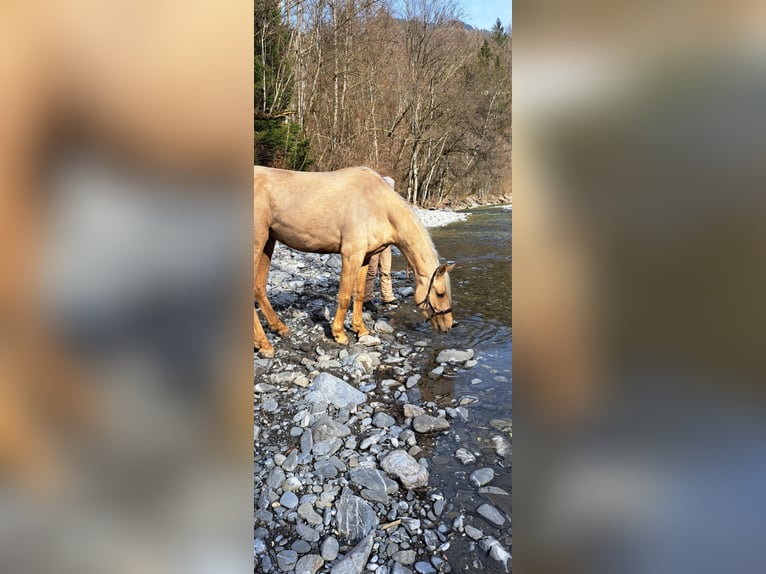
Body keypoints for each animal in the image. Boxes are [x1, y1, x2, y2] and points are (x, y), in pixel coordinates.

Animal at [255, 164, 452, 358]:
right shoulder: (351, 255)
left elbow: (359, 294)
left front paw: (361, 330)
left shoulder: (365, 257)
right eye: (440, 293)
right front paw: (339, 335)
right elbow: (344, 295)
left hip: (269, 242)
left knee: (259, 288)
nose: (449, 326)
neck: (377, 205)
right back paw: (265, 345)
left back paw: (279, 328)